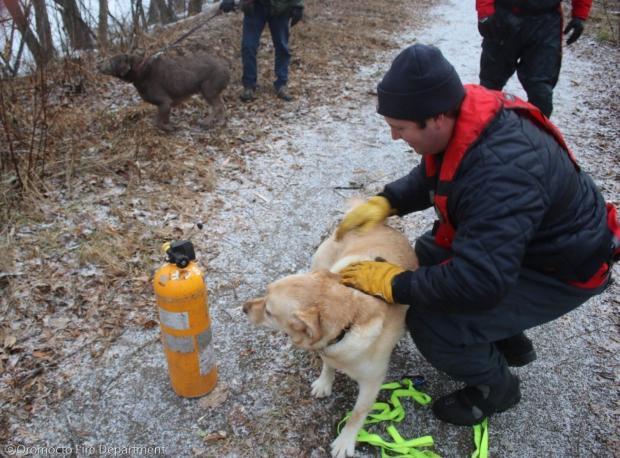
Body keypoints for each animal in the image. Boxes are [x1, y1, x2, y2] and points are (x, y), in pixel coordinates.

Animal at [98, 54, 229, 132]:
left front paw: (169, 128)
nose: (97, 64)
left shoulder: (165, 102)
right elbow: (163, 118)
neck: (140, 70)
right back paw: (221, 122)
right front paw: (169, 125)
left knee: (217, 107)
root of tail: (226, 66)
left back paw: (206, 122)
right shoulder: (164, 105)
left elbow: (158, 122)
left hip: (208, 90)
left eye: (110, 61)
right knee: (222, 106)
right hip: (212, 92)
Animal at [242, 209, 416, 456]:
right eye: (264, 293)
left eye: (268, 311)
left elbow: (357, 414)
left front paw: (345, 441)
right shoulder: (328, 348)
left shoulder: (372, 383)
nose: (244, 307)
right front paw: (325, 382)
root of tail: (380, 223)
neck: (349, 323)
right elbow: (327, 365)